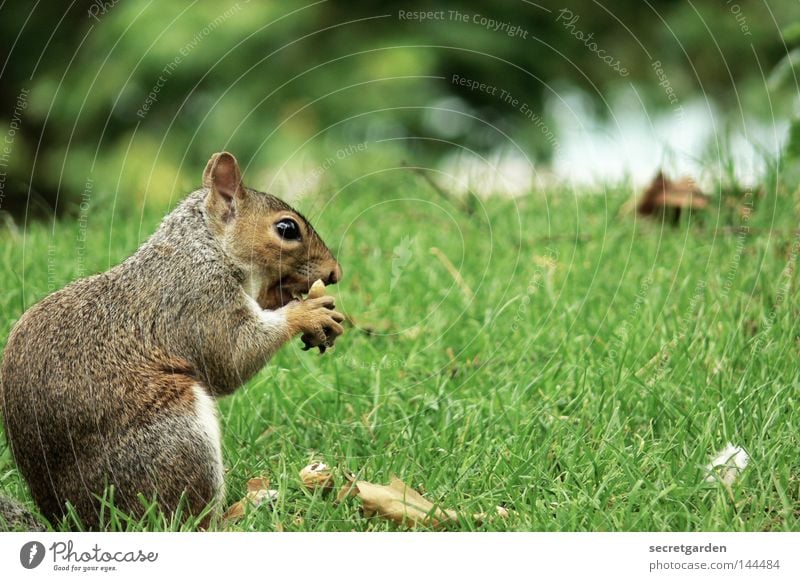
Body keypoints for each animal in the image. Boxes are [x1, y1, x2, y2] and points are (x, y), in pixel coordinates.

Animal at [0, 152, 344, 528]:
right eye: (287, 229)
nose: (335, 272)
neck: (205, 248)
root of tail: (72, 519)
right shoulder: (199, 302)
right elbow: (233, 357)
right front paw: (307, 313)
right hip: (177, 438)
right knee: (191, 522)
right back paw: (244, 509)